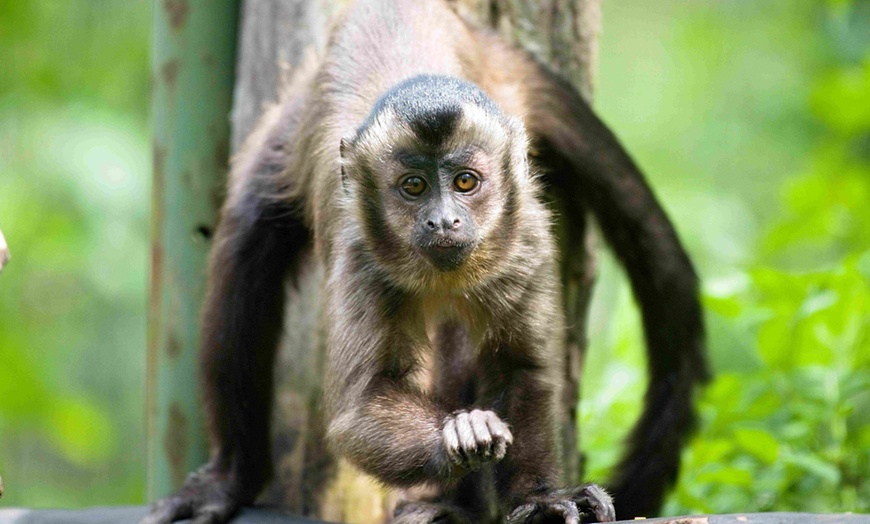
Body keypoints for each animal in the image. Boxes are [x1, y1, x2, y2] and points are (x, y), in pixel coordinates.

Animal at [145, 1, 708, 524]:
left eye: (465, 182)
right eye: (413, 187)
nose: (443, 221)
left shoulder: (525, 241)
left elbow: (522, 368)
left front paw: (540, 498)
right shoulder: (361, 256)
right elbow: (361, 409)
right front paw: (459, 431)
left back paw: (454, 504)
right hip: (293, 113)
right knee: (245, 249)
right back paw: (232, 477)